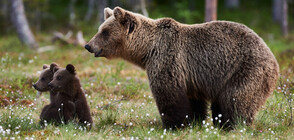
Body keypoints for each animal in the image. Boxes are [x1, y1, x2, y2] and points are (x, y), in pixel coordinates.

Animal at [84, 6, 280, 129]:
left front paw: (173, 125)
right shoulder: (191, 77)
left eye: (104, 32)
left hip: (246, 69)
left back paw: (233, 125)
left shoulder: (167, 60)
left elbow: (168, 94)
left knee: (235, 99)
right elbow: (193, 100)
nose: (88, 45)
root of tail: (273, 57)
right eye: (100, 29)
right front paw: (195, 122)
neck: (147, 50)